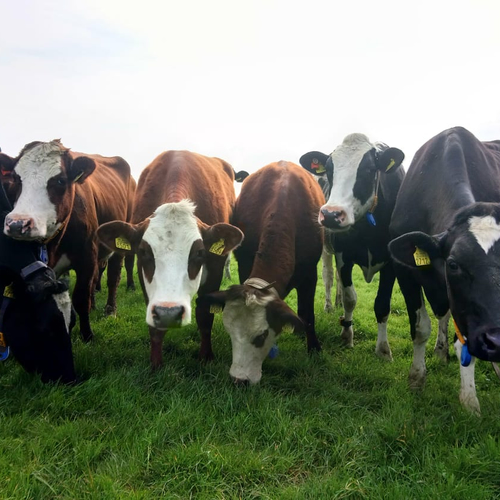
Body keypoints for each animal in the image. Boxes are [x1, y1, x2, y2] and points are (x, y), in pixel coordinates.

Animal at [0, 141, 136, 344]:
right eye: (16, 178)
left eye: (60, 181)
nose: (17, 224)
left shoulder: (87, 257)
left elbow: (80, 298)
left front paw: (87, 335)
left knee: (113, 277)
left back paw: (110, 310)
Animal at [96, 148, 244, 368]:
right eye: (144, 252)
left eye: (199, 253)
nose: (169, 313)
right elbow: (155, 328)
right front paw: (156, 364)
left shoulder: (216, 268)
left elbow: (205, 315)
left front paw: (205, 356)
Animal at [199, 160, 324, 382]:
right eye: (230, 332)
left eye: (262, 335)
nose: (239, 380)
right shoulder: (244, 264)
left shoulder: (310, 273)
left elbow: (308, 314)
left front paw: (314, 348)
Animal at [298, 133, 404, 360]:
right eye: (329, 170)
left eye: (369, 169)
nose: (331, 214)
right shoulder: (343, 256)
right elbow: (350, 298)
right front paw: (347, 336)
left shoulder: (391, 262)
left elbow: (382, 304)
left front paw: (383, 349)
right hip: (326, 249)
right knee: (329, 276)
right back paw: (330, 304)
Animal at [388, 126, 500, 414]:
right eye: (453, 264)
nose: (497, 341)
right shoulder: (404, 271)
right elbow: (420, 327)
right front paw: (417, 378)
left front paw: (469, 399)